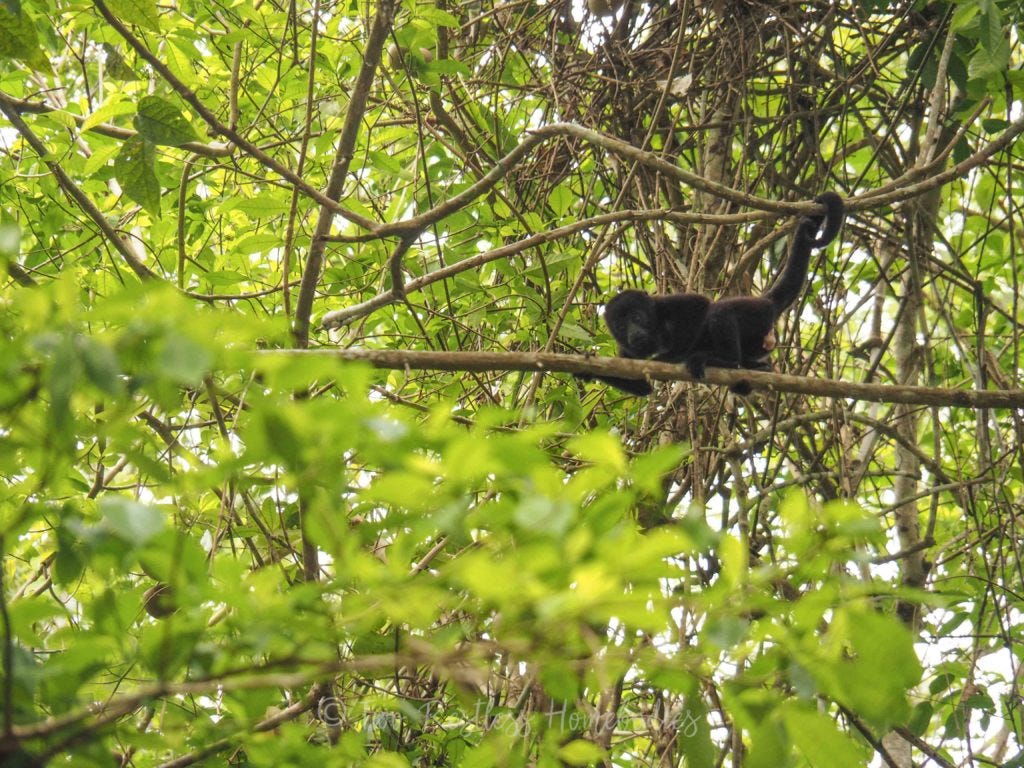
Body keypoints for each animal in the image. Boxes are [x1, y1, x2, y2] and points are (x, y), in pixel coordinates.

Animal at [598, 191, 839, 397]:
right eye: (621, 326)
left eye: (637, 317)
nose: (634, 333)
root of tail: (767, 301)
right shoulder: (627, 353)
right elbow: (643, 387)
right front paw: (588, 371)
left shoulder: (665, 305)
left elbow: (699, 305)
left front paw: (672, 357)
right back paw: (754, 370)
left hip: (756, 314)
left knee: (720, 312)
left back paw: (723, 361)